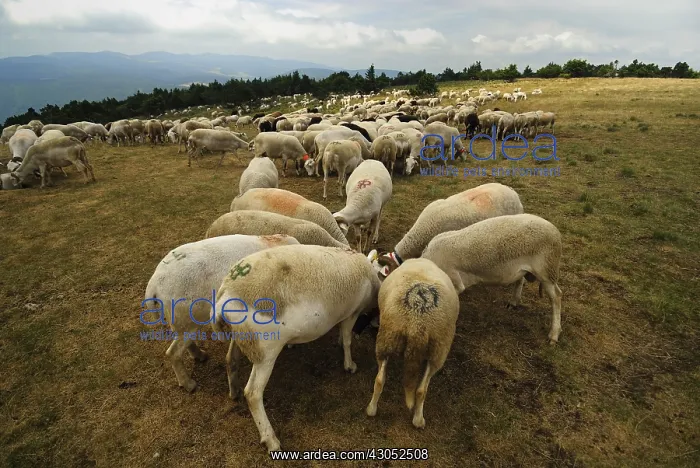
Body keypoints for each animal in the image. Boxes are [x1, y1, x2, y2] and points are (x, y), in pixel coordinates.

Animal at [143, 234, 300, 392]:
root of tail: (154, 285)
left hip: (182, 319)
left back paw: (199, 355)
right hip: (188, 317)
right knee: (173, 353)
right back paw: (188, 384)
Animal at [211, 244, 381, 452]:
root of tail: (226, 292)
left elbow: (343, 333)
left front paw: (339, 342)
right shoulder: (352, 312)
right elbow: (349, 339)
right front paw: (349, 364)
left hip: (244, 337)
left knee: (230, 360)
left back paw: (233, 391)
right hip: (265, 350)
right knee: (252, 393)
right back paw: (271, 439)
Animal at [365, 258, 459, 428]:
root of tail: (418, 323)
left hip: (387, 338)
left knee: (380, 380)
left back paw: (371, 409)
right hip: (439, 350)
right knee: (422, 390)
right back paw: (418, 420)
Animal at [421, 213, 563, 344]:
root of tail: (555, 230)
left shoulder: (454, 281)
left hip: (546, 269)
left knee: (556, 296)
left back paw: (554, 334)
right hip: (527, 268)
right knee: (521, 280)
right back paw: (514, 302)